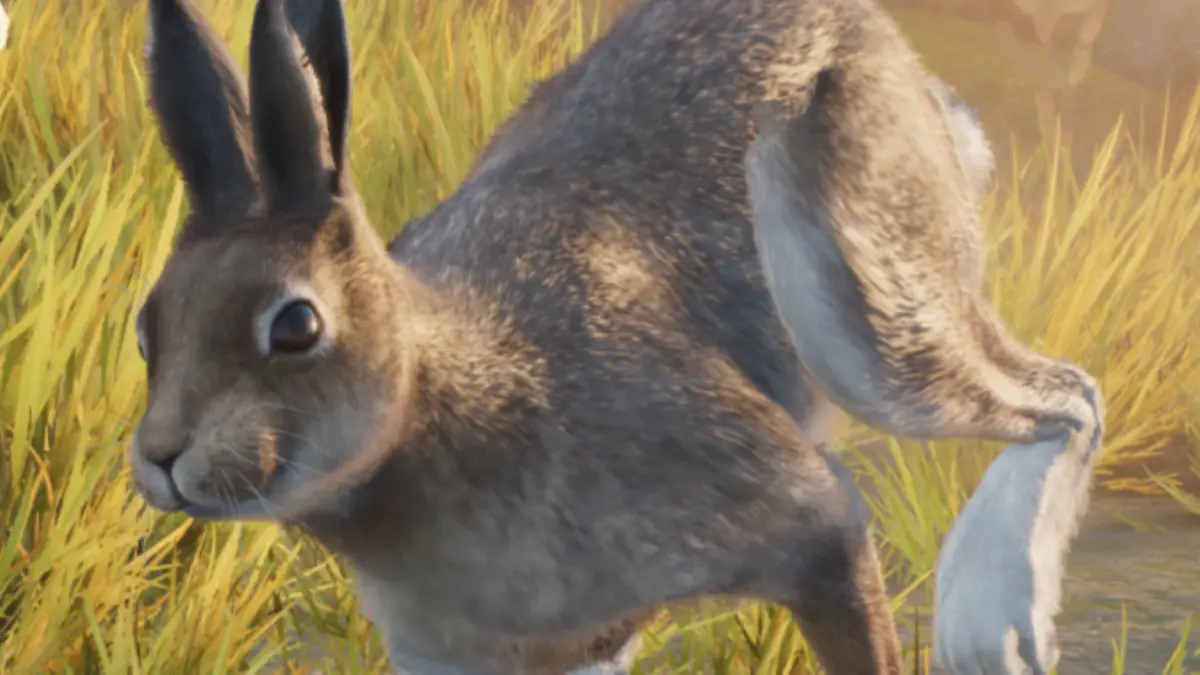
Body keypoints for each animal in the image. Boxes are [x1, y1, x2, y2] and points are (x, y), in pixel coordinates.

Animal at [127, 0, 1104, 674]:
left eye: (295, 326)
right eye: (147, 328)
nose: (163, 457)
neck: (435, 407)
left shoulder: (812, 524)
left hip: (874, 310)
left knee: (1067, 398)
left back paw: (996, 629)